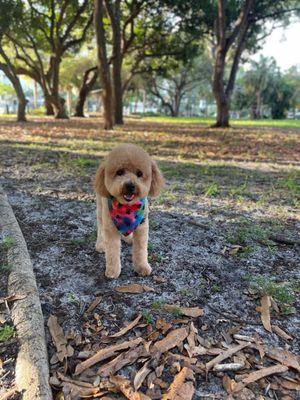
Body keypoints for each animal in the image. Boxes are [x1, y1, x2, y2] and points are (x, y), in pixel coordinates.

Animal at [94, 144, 164, 278]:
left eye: (139, 173)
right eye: (119, 172)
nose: (130, 185)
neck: (127, 209)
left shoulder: (142, 227)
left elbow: (141, 250)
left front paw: (142, 267)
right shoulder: (110, 228)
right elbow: (112, 251)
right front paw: (113, 270)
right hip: (100, 209)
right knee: (100, 227)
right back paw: (100, 244)